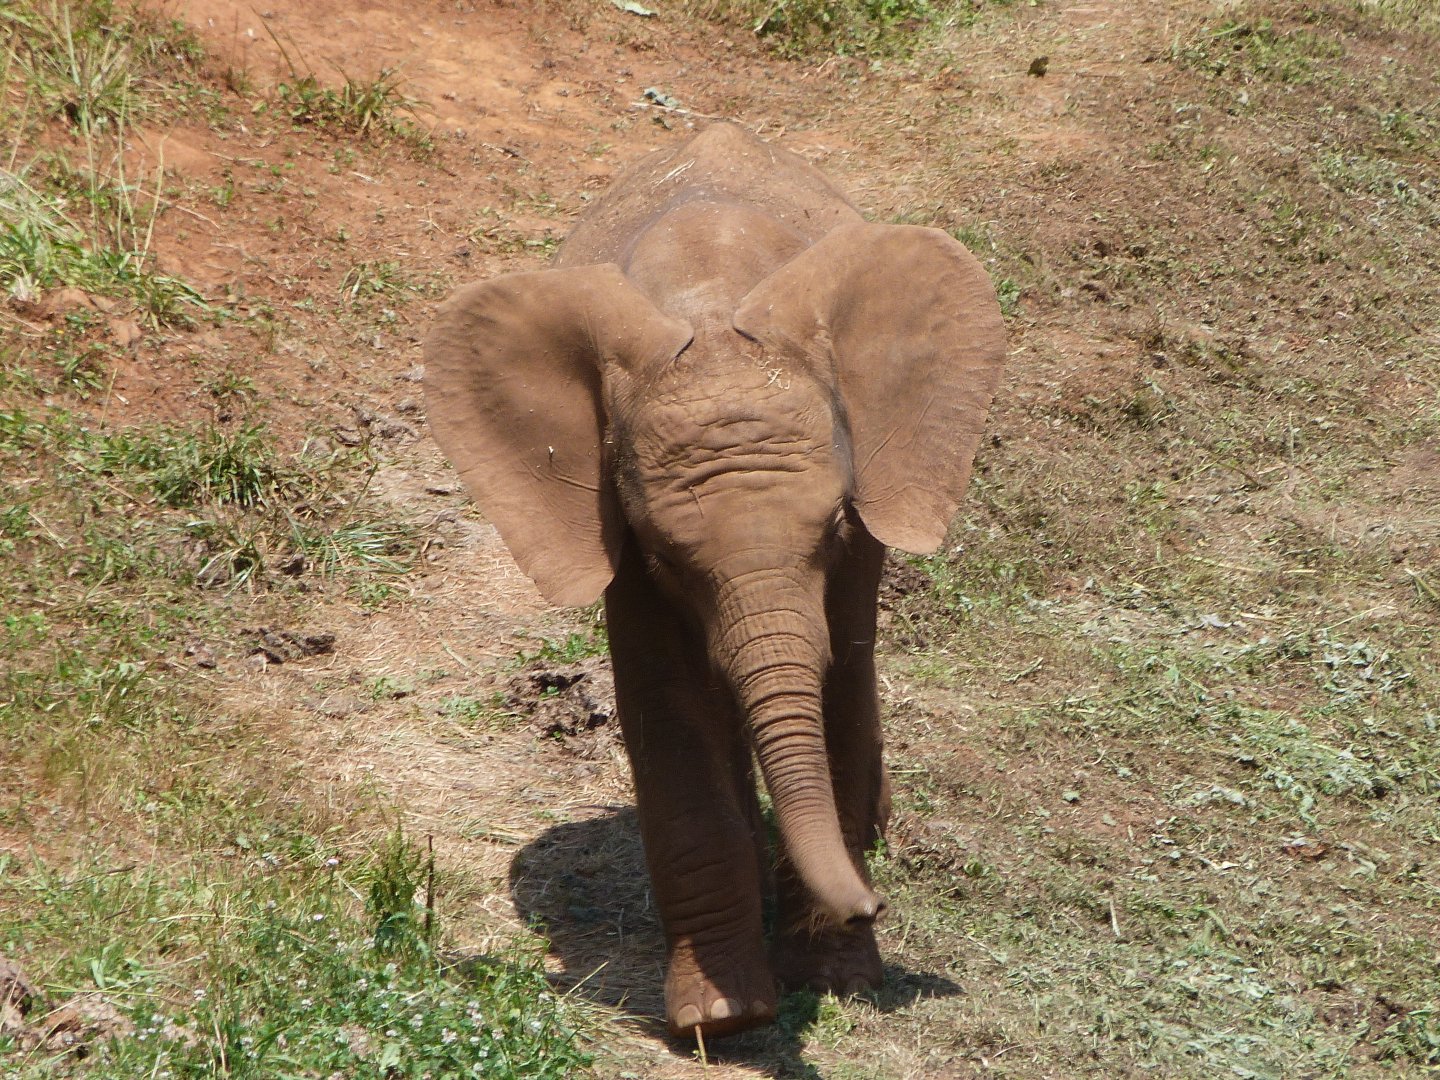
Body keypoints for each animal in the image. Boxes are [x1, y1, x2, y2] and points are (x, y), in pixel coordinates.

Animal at [424, 123, 1005, 1040]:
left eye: (834, 526)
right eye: (666, 554)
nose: (872, 904)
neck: (709, 299)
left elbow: (839, 680)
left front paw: (837, 978)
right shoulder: (616, 527)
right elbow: (671, 704)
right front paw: (721, 1020)